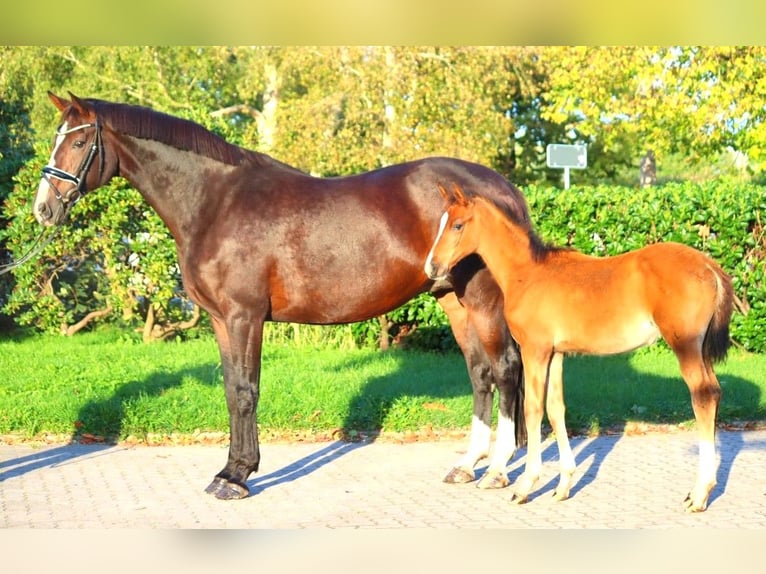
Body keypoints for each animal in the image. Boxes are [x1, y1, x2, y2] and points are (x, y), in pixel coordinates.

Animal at [34, 92, 528, 502]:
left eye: (79, 142)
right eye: (58, 138)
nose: (43, 208)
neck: (215, 202)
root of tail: (503, 188)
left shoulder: (244, 316)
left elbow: (246, 391)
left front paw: (236, 478)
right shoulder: (220, 319)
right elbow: (231, 389)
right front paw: (230, 470)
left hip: (482, 300)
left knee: (505, 370)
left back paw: (499, 471)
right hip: (452, 299)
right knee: (480, 373)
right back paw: (466, 465)